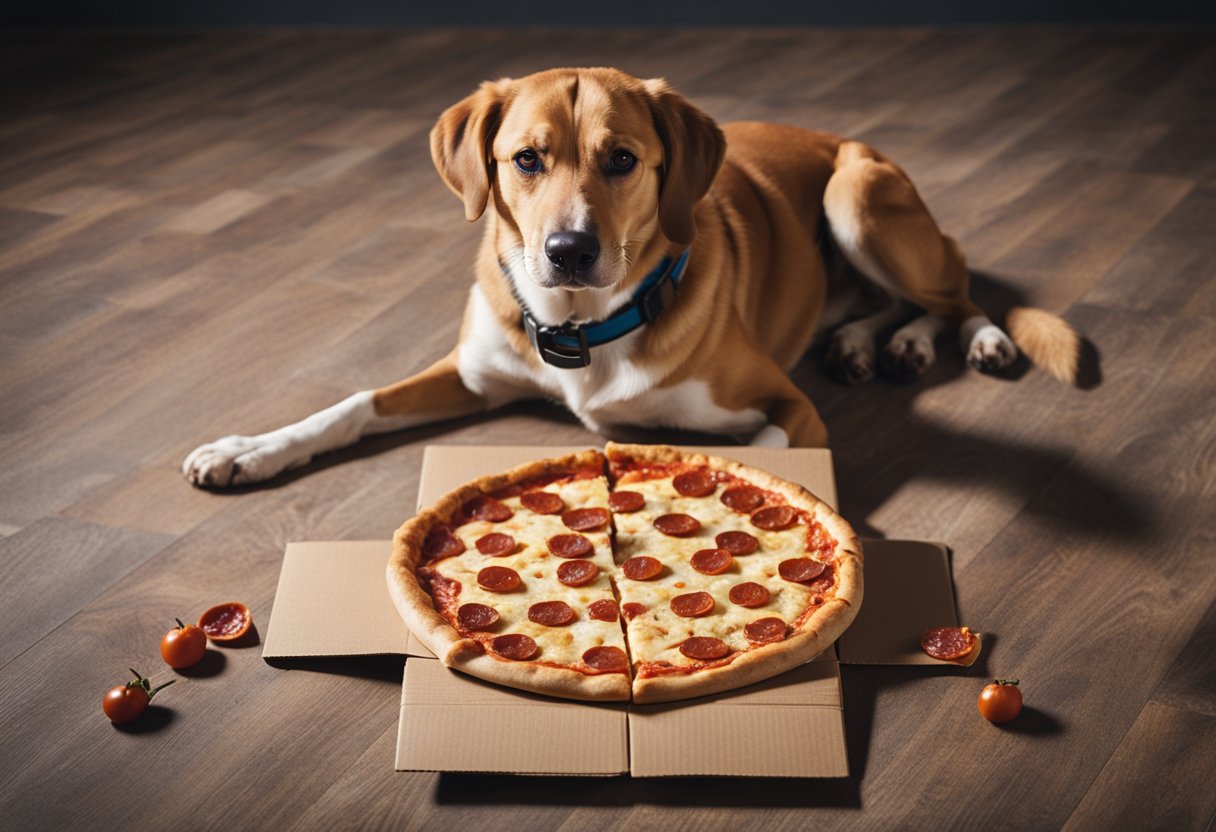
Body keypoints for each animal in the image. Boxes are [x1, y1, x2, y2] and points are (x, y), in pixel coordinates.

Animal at [179, 69, 1074, 486]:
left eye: (621, 160)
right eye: (525, 160)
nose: (569, 250)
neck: (582, 323)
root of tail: (850, 139)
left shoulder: (791, 409)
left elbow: (759, 451)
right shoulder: (471, 374)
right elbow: (352, 404)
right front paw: (249, 450)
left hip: (858, 195)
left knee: (955, 296)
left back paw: (966, 340)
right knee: (886, 303)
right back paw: (864, 341)